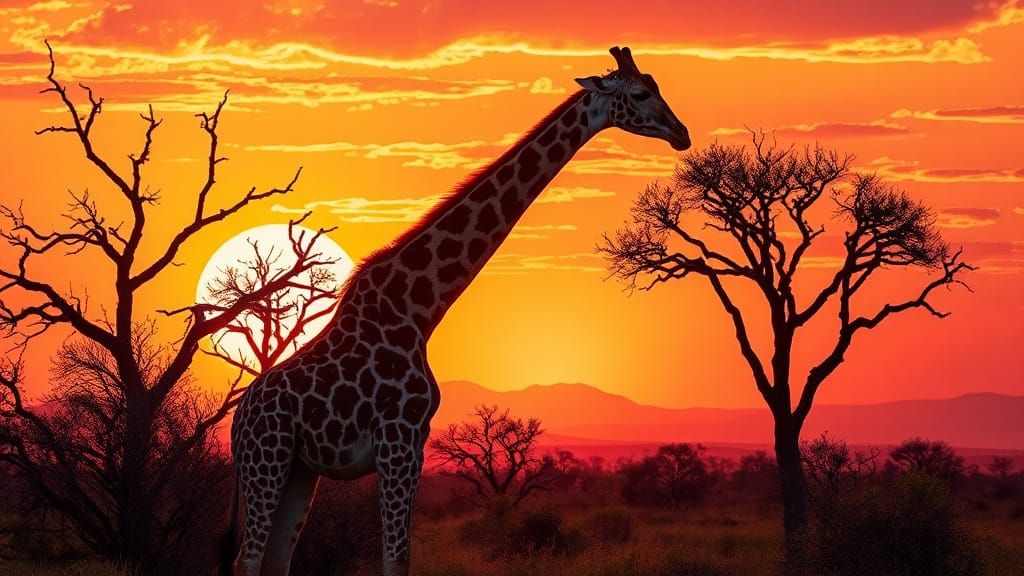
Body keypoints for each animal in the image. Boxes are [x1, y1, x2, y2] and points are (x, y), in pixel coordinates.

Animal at [228, 46, 690, 576]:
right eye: (640, 94)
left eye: (658, 86)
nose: (682, 133)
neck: (419, 310)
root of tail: (235, 423)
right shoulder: (399, 440)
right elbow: (396, 559)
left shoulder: (411, 443)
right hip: (266, 460)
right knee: (247, 558)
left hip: (298, 470)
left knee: (275, 557)